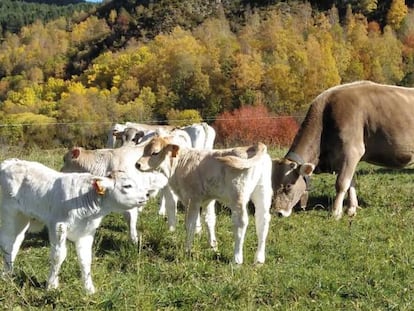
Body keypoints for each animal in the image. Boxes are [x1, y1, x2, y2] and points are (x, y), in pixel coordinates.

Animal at [0, 160, 154, 294]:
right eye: (127, 186)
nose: (147, 194)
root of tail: (8, 162)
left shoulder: (86, 232)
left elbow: (85, 259)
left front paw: (89, 289)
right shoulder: (58, 226)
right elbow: (58, 256)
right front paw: (52, 285)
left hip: (22, 218)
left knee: (16, 242)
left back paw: (10, 272)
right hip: (9, 214)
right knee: (7, 243)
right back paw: (7, 275)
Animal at [136, 137, 274, 266]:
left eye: (155, 152)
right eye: (144, 150)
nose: (137, 164)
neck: (180, 164)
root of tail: (251, 146)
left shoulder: (192, 199)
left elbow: (190, 224)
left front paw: (187, 250)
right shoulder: (208, 199)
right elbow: (209, 220)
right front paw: (213, 246)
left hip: (238, 196)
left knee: (241, 223)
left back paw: (237, 259)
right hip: (263, 192)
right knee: (262, 221)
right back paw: (259, 259)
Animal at [272, 81, 414, 221]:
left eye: (288, 186)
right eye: (272, 184)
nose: (278, 212)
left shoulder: (352, 150)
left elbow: (341, 183)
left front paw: (335, 213)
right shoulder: (345, 158)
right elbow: (351, 182)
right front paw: (351, 210)